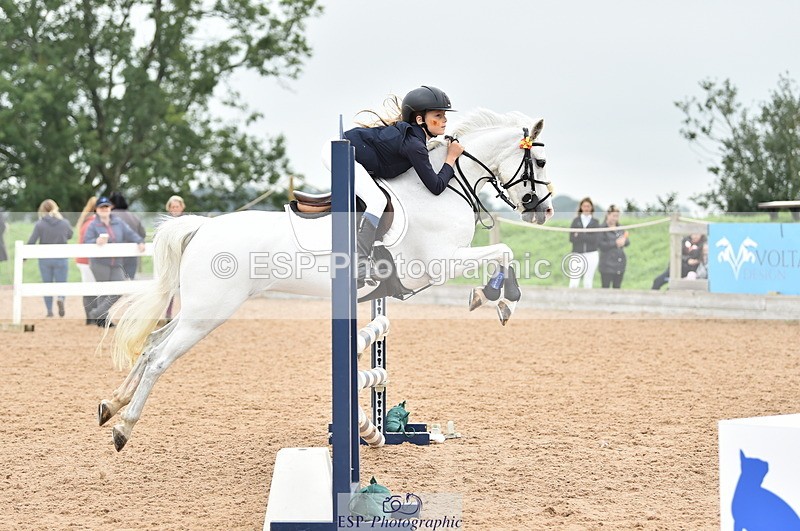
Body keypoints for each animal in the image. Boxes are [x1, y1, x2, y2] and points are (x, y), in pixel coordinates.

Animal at [98, 108, 555, 451]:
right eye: (542, 162)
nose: (543, 211)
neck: (440, 188)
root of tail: (203, 227)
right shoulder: (440, 263)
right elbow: (504, 251)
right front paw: (500, 298)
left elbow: (502, 252)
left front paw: (494, 297)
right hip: (209, 311)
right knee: (161, 357)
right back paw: (124, 427)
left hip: (199, 308)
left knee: (152, 343)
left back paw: (111, 405)